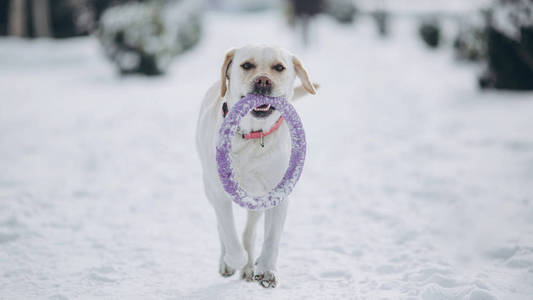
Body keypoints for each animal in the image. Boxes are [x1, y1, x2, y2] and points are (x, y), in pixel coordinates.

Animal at [195, 45, 316, 288]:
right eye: (247, 65)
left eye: (279, 67)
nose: (263, 81)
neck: (253, 136)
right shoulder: (220, 195)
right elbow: (229, 236)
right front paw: (236, 260)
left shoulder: (279, 195)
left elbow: (271, 237)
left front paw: (267, 269)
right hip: (209, 189)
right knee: (223, 229)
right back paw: (231, 263)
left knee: (250, 232)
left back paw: (253, 264)